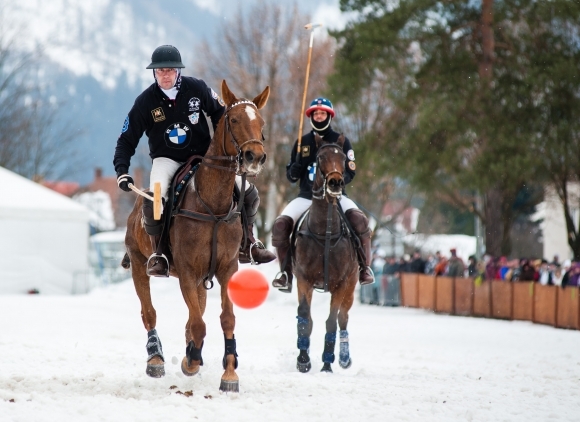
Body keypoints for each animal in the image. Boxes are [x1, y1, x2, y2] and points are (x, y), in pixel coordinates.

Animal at [124, 81, 270, 394]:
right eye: (234, 119)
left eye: (261, 122)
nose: (254, 157)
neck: (213, 204)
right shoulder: (188, 271)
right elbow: (199, 324)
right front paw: (190, 362)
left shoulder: (227, 268)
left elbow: (225, 318)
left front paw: (229, 373)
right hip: (140, 264)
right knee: (150, 312)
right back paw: (156, 359)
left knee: (195, 315)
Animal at [292, 134, 360, 372]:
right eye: (320, 157)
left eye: (343, 158)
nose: (335, 183)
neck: (325, 231)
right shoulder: (303, 278)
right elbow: (305, 317)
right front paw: (303, 360)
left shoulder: (341, 283)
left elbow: (331, 321)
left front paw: (327, 364)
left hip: (352, 285)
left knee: (343, 318)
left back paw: (344, 358)